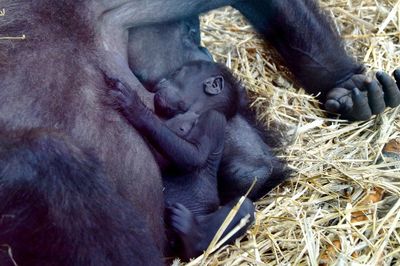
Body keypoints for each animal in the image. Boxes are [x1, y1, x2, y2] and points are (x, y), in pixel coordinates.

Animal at [108, 59, 255, 260]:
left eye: (177, 73)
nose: (161, 80)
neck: (192, 111)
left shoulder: (213, 119)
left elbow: (193, 156)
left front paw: (134, 108)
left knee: (244, 205)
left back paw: (192, 235)